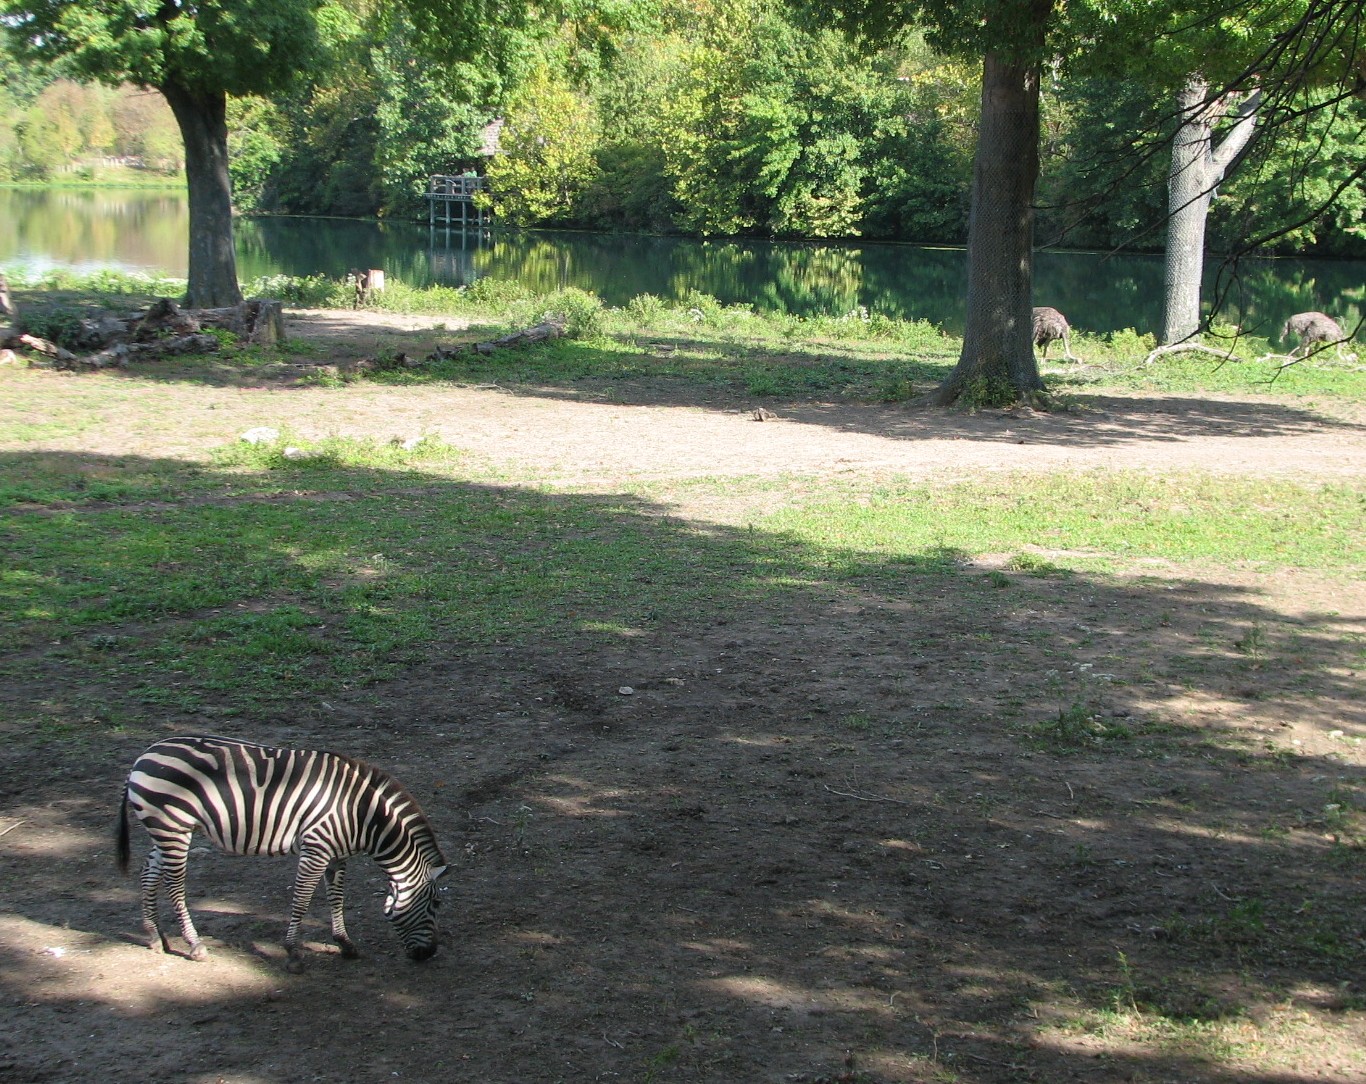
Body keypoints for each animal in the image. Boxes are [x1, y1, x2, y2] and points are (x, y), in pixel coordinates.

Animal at [117, 735, 448, 971]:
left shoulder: (337, 854)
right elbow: (301, 900)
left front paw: (344, 943)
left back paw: (154, 936)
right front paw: (292, 953)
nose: (429, 953)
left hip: (164, 830)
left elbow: (336, 898)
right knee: (174, 886)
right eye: (436, 903)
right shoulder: (316, 849)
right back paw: (194, 945)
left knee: (148, 874)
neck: (362, 815)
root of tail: (142, 757)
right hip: (173, 828)